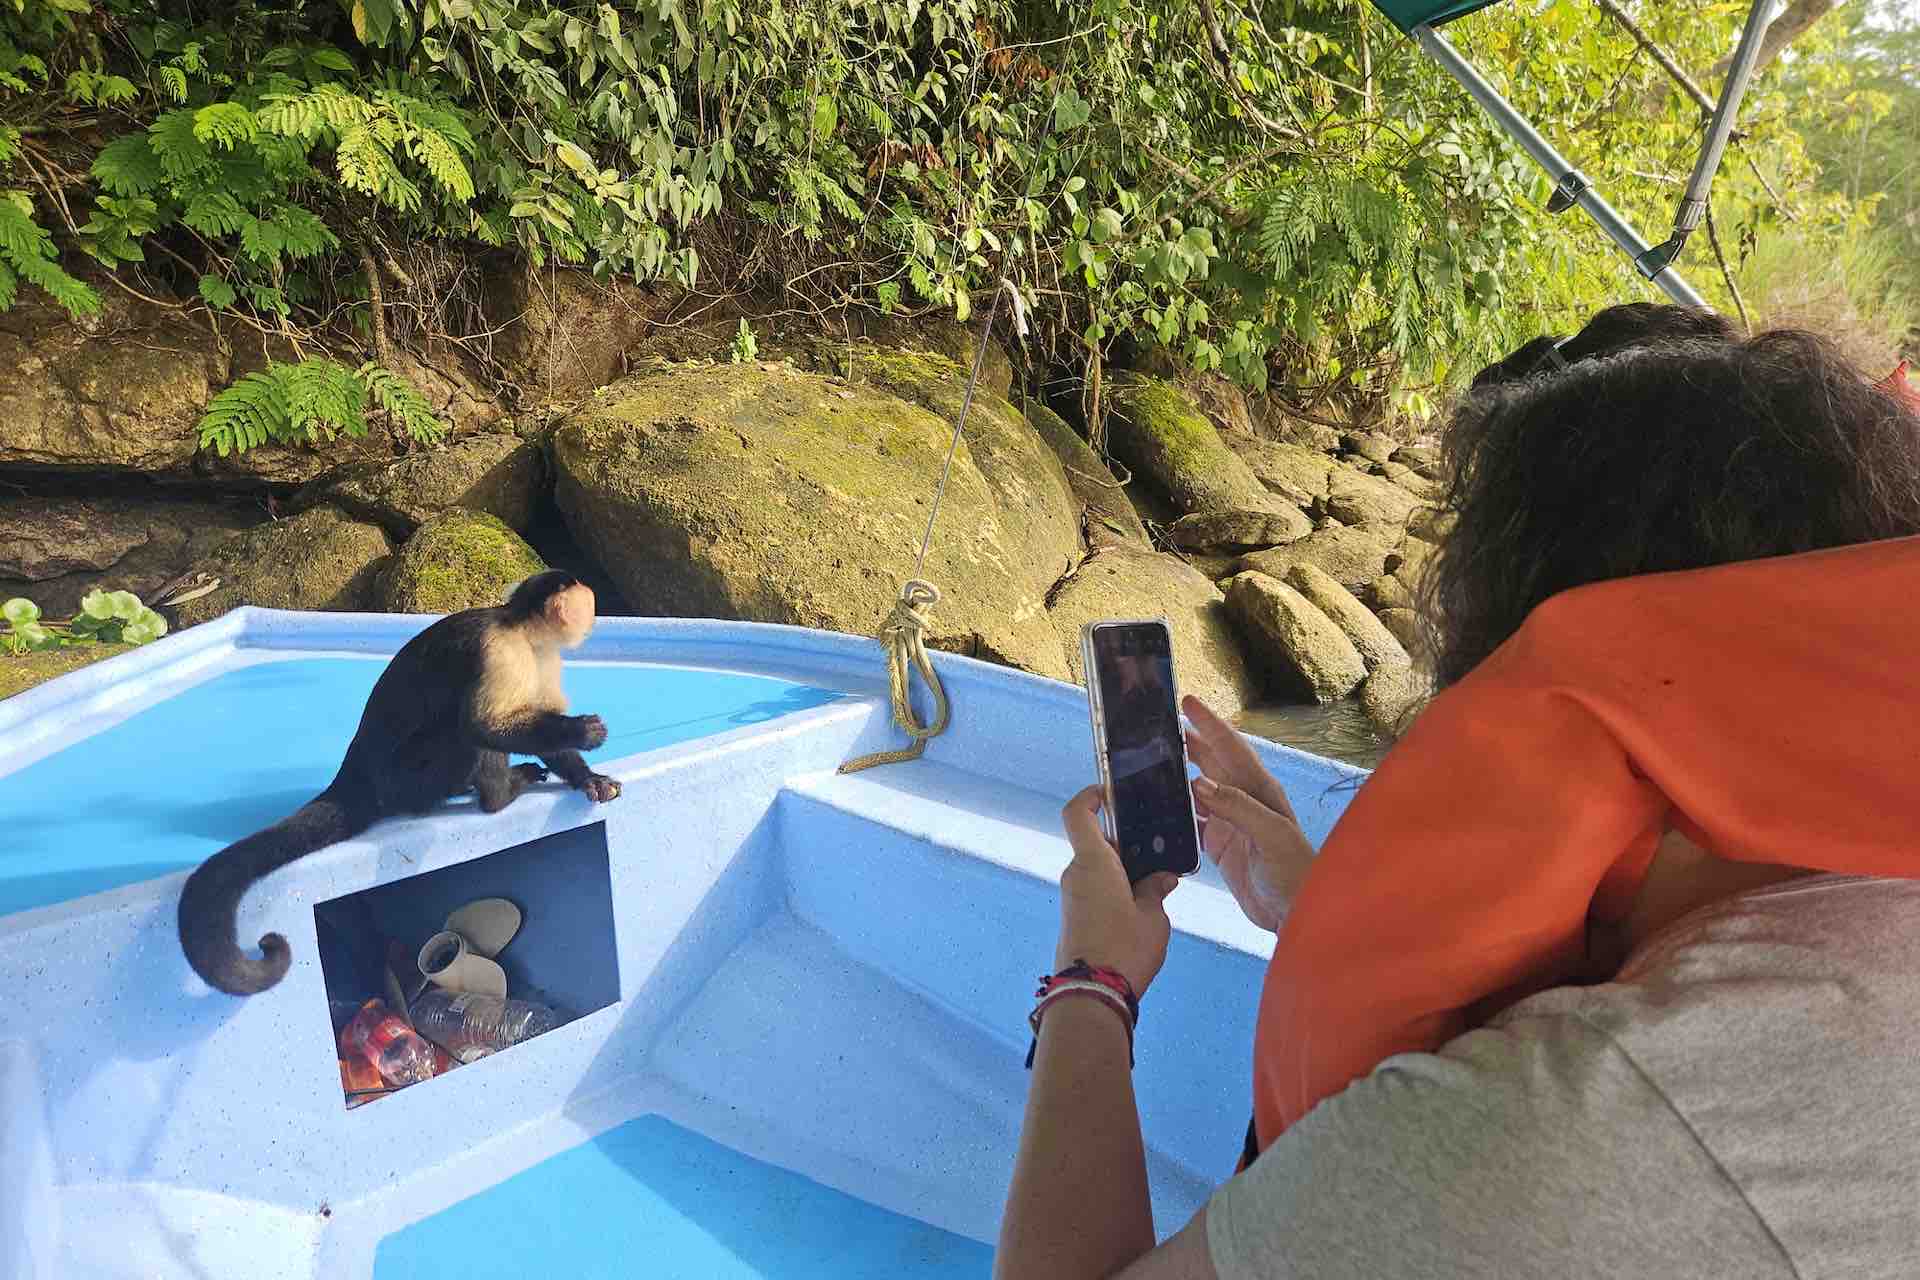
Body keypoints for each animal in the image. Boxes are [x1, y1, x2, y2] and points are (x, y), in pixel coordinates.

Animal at [178, 570, 622, 997]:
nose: (594, 610)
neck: (525, 631)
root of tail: (357, 773)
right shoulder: (501, 651)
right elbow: (484, 726)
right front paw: (581, 731)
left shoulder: (543, 660)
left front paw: (588, 777)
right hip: (409, 778)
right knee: (461, 729)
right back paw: (501, 794)